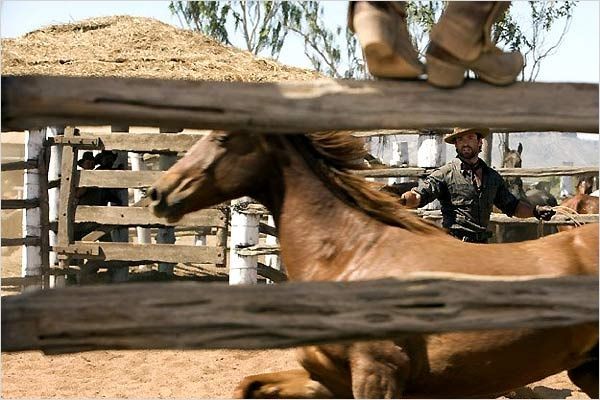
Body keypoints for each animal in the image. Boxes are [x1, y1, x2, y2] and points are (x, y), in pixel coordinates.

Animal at [148, 130, 596, 396]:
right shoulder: (327, 378)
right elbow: (249, 385)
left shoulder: (376, 374)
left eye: (223, 137)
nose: (158, 192)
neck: (350, 255)